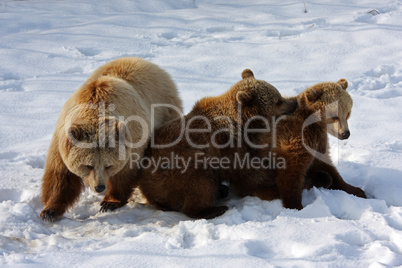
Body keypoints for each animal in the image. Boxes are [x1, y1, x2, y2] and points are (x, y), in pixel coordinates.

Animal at [39, 57, 182, 222]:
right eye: (88, 165)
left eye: (109, 165)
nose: (99, 187)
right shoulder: (62, 139)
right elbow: (60, 175)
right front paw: (49, 211)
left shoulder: (132, 137)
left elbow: (124, 173)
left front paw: (110, 202)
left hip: (165, 110)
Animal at [137, 69, 296, 220]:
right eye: (278, 101)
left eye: (279, 95)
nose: (294, 103)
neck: (245, 125)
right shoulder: (230, 146)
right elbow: (249, 174)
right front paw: (273, 187)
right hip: (175, 169)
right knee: (199, 183)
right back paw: (214, 209)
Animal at [250, 78, 370, 209]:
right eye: (334, 116)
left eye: (348, 113)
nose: (345, 134)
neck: (313, 123)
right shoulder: (295, 136)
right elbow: (292, 171)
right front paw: (295, 205)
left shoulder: (319, 140)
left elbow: (326, 165)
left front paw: (357, 190)